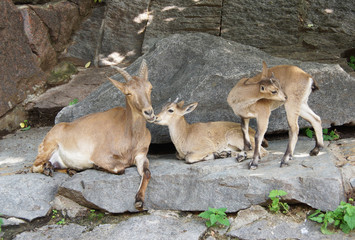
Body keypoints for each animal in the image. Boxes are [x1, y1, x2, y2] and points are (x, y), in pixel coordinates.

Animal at [32, 60, 156, 210]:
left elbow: (147, 173)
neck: (130, 137)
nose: (149, 113)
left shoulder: (141, 155)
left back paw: (68, 170)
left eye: (150, 88)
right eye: (128, 93)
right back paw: (47, 169)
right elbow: (120, 168)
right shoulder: (100, 155)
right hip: (48, 146)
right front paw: (97, 166)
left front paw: (139, 200)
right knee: (34, 166)